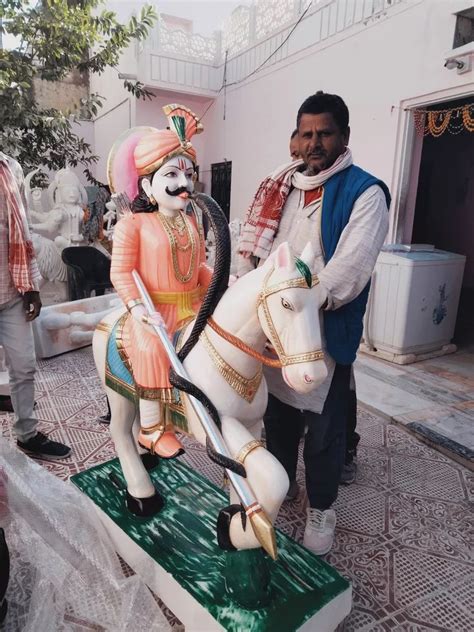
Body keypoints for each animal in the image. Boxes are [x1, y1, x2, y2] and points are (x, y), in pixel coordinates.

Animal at [93, 242, 330, 552]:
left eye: (322, 303)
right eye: (286, 303)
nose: (313, 376)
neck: (228, 357)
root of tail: (107, 319)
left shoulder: (253, 423)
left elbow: (246, 472)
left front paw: (235, 522)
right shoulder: (215, 423)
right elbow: (273, 476)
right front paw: (244, 531)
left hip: (129, 393)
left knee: (135, 421)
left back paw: (149, 452)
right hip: (116, 393)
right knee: (119, 431)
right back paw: (143, 496)